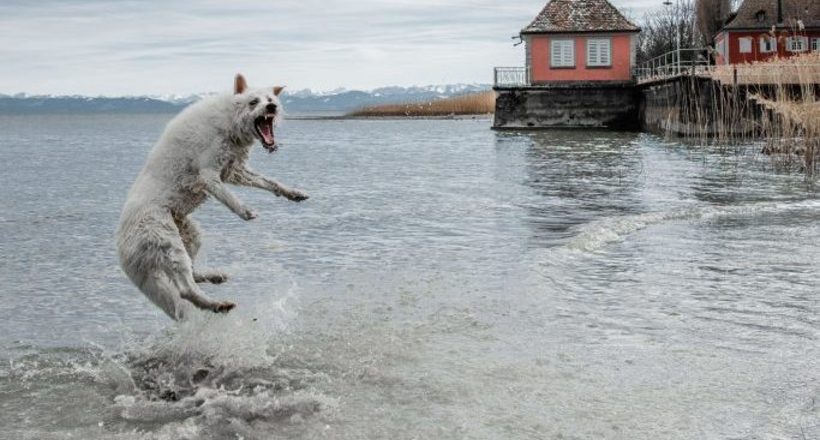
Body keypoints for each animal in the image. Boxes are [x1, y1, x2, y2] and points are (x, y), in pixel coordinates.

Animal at [115, 73, 308, 320]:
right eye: (254, 102)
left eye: (270, 99)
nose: (272, 107)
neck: (228, 121)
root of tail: (121, 249)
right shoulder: (209, 175)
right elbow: (228, 197)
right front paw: (245, 211)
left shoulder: (234, 170)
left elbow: (269, 182)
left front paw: (293, 193)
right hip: (168, 243)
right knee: (186, 290)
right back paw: (218, 305)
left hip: (191, 235)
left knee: (192, 275)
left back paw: (214, 279)